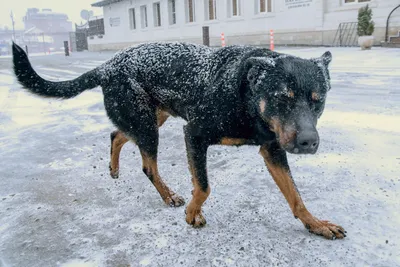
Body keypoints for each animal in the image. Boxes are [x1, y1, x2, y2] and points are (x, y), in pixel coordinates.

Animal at [10, 42, 346, 241]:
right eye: (282, 98)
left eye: (318, 100)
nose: (308, 142)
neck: (247, 98)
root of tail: (106, 65)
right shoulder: (194, 135)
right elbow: (204, 186)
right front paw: (193, 213)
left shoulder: (273, 148)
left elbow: (295, 196)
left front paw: (315, 223)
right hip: (147, 126)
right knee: (147, 165)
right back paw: (168, 195)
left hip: (151, 118)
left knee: (117, 134)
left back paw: (115, 168)